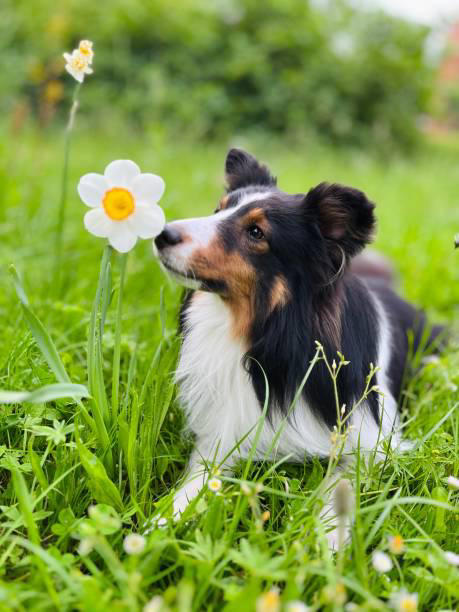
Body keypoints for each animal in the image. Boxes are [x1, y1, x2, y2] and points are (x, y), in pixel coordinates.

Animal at [155, 149, 446, 548]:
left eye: (256, 232)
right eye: (218, 210)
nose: (161, 234)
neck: (268, 334)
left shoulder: (373, 442)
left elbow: (341, 483)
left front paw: (327, 539)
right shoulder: (225, 426)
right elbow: (201, 475)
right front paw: (166, 520)